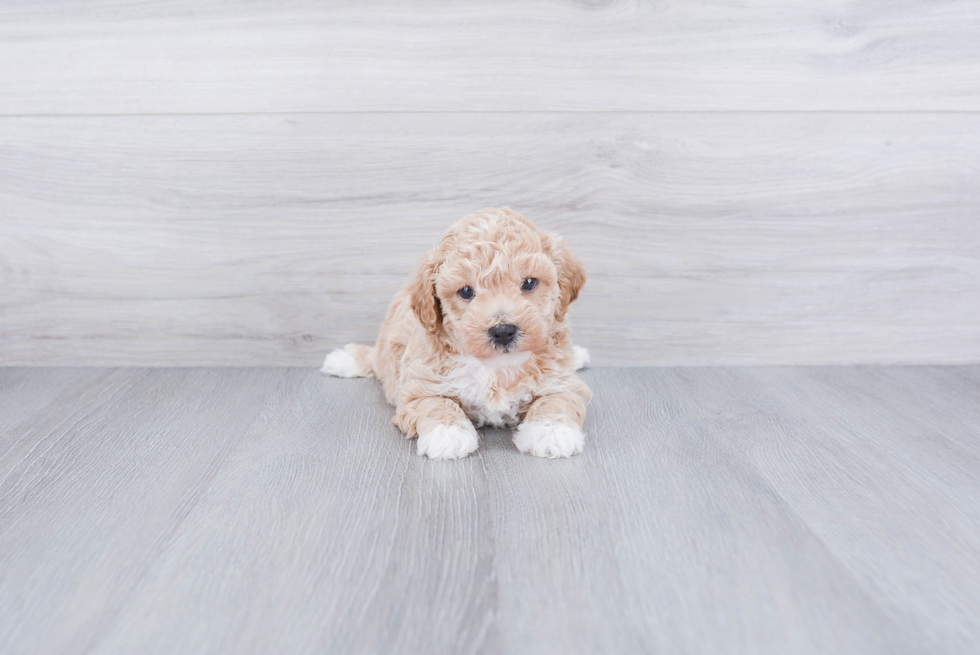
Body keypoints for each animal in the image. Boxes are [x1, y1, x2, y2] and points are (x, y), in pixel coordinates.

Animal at [326, 209, 592, 462]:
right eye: (465, 291)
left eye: (528, 283)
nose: (503, 331)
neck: (496, 368)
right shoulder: (417, 388)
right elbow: (436, 403)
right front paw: (447, 434)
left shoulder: (561, 382)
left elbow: (556, 400)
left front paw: (552, 432)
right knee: (374, 359)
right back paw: (344, 360)